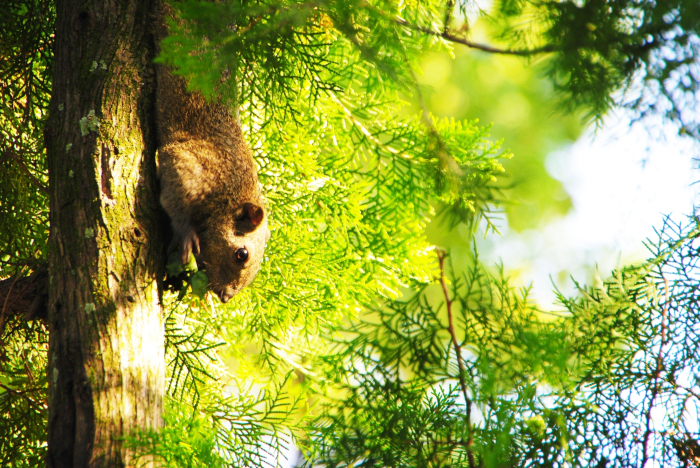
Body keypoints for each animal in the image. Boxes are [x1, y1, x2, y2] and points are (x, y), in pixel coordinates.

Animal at [154, 1, 270, 304]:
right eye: (242, 254)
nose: (226, 296)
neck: (232, 191)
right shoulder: (198, 167)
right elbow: (174, 192)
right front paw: (185, 235)